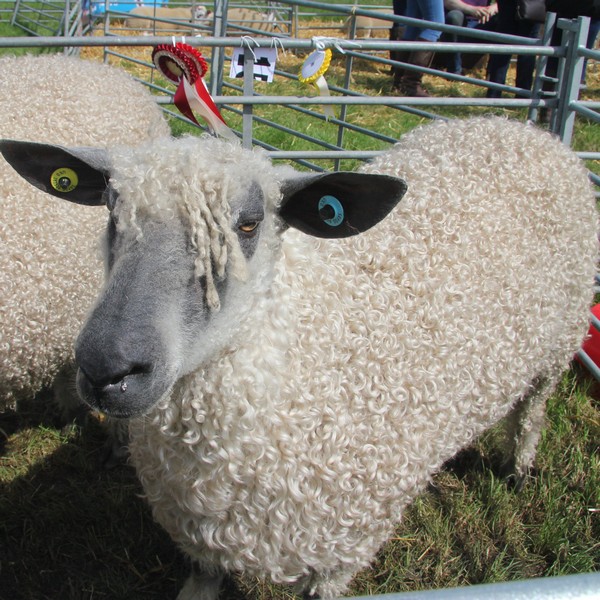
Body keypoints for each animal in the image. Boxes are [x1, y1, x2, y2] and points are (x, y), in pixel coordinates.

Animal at [1, 115, 596, 596]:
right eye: (111, 213)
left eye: (248, 223)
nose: (107, 369)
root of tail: (523, 130)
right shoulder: (202, 532)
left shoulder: (343, 547)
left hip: (559, 342)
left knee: (532, 411)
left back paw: (518, 469)